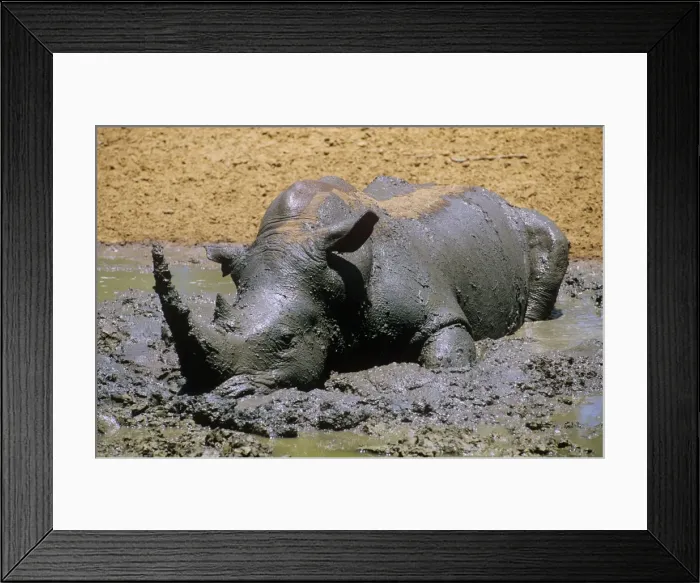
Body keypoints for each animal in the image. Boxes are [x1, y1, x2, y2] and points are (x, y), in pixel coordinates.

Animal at [152, 175, 569, 398]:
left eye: (287, 340)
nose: (207, 387)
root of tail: (498, 196)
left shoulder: (435, 310)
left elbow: (445, 347)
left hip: (527, 224)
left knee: (551, 241)